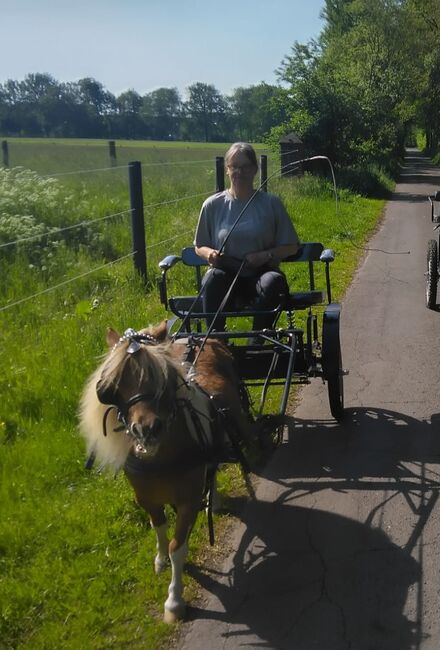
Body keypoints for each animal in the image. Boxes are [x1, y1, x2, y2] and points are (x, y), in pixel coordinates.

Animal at [78, 318, 262, 624]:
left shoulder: (187, 501)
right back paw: (214, 500)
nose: (147, 431)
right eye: (113, 386)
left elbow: (179, 546)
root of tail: (204, 338)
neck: (160, 459)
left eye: (162, 378)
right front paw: (159, 559)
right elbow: (158, 527)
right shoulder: (145, 498)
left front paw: (174, 601)